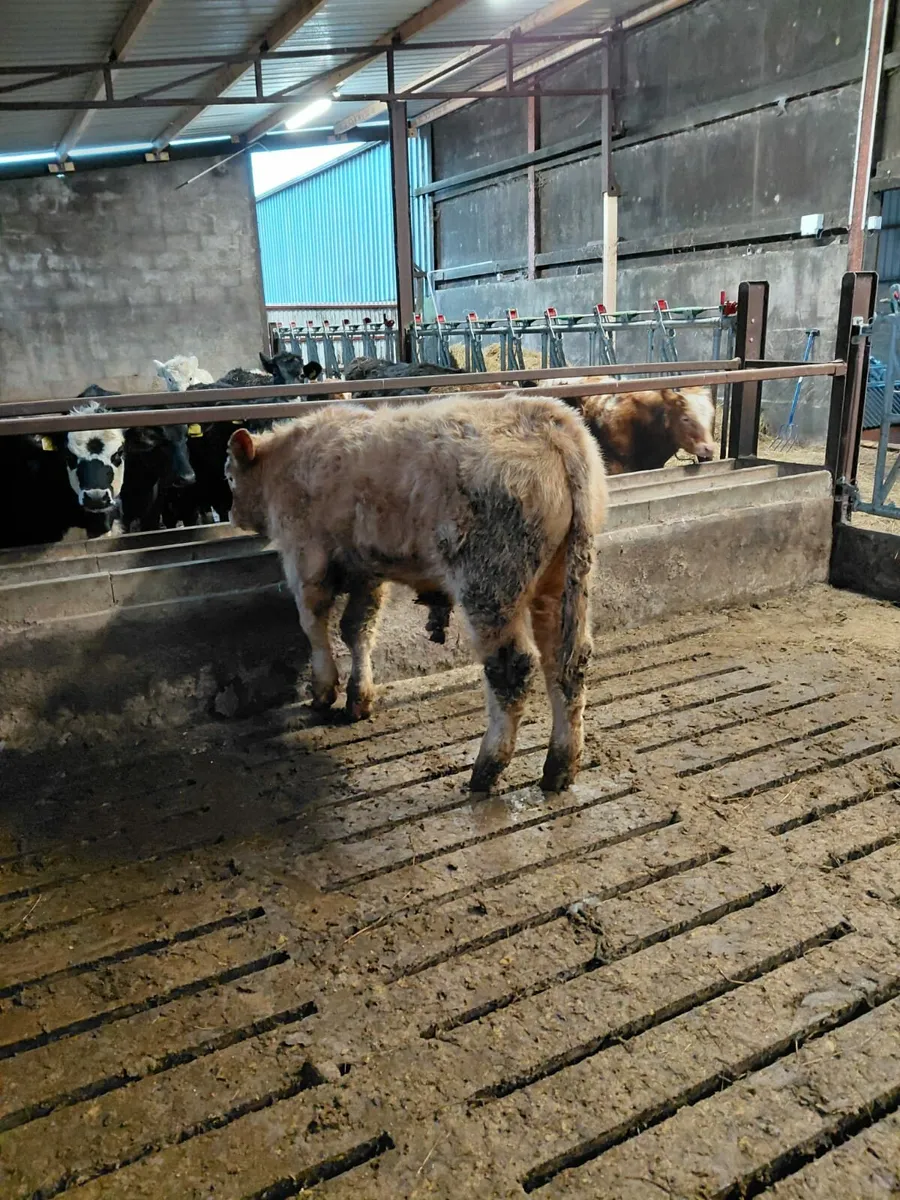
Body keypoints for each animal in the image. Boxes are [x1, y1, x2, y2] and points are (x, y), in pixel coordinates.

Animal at [225, 393, 607, 794]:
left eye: (229, 476)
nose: (232, 513)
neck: (284, 463)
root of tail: (550, 421)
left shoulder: (304, 560)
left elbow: (313, 624)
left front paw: (323, 691)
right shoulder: (368, 572)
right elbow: (357, 629)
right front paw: (358, 698)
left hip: (490, 584)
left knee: (512, 668)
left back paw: (486, 769)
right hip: (562, 582)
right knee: (566, 662)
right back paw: (560, 767)